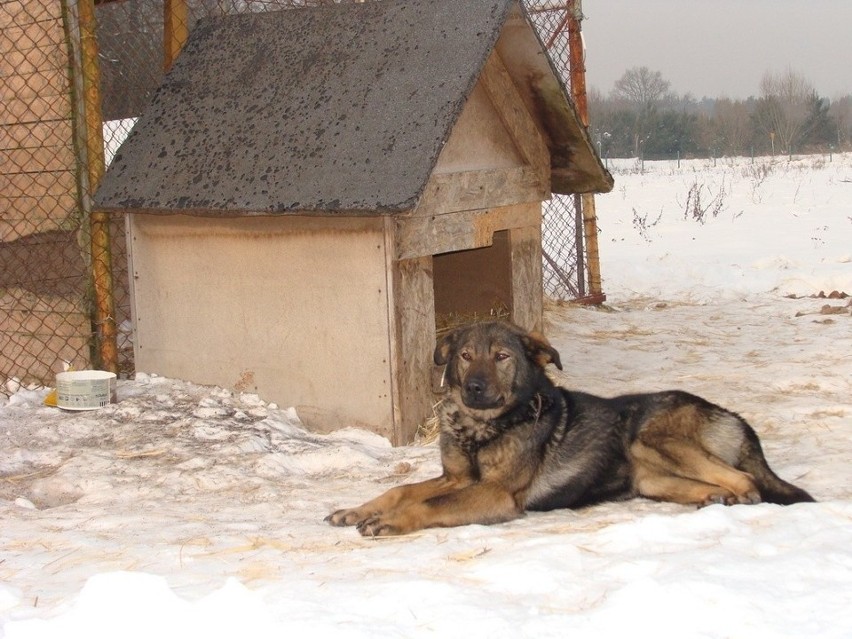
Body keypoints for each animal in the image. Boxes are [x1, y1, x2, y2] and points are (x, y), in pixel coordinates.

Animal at [324, 320, 812, 536]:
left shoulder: (494, 493)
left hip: (650, 437)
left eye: (502, 356)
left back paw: (740, 497)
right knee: (714, 484)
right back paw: (713, 498)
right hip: (650, 477)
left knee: (746, 479)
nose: (475, 388)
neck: (483, 428)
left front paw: (390, 521)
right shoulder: (457, 477)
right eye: (465, 356)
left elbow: (429, 504)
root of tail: (734, 416)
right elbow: (402, 489)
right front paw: (359, 510)